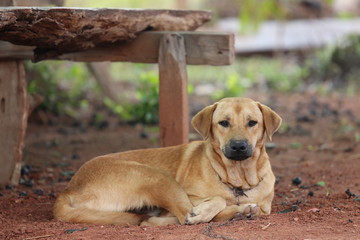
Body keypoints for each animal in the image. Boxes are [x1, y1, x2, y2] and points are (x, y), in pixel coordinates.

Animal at [53, 97, 282, 225]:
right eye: (223, 123)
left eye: (252, 123)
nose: (238, 146)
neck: (238, 181)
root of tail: (69, 189)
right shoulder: (191, 195)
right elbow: (216, 200)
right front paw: (206, 210)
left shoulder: (265, 207)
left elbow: (257, 208)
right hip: (157, 177)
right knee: (177, 217)